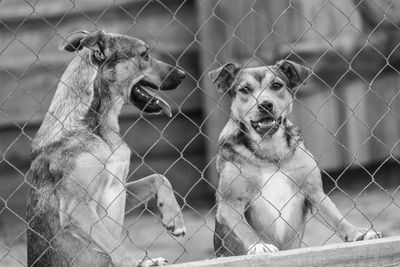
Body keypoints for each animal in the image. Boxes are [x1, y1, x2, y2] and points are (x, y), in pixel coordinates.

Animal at [26, 29, 186, 267]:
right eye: (144, 54)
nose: (183, 74)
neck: (97, 126)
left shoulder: (121, 186)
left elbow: (159, 177)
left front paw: (174, 217)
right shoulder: (76, 206)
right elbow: (114, 244)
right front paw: (132, 262)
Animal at [209, 60, 382, 258]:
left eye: (276, 85)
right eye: (244, 90)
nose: (265, 105)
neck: (270, 152)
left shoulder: (314, 192)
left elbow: (335, 215)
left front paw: (356, 233)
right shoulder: (229, 204)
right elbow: (245, 229)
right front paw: (259, 245)